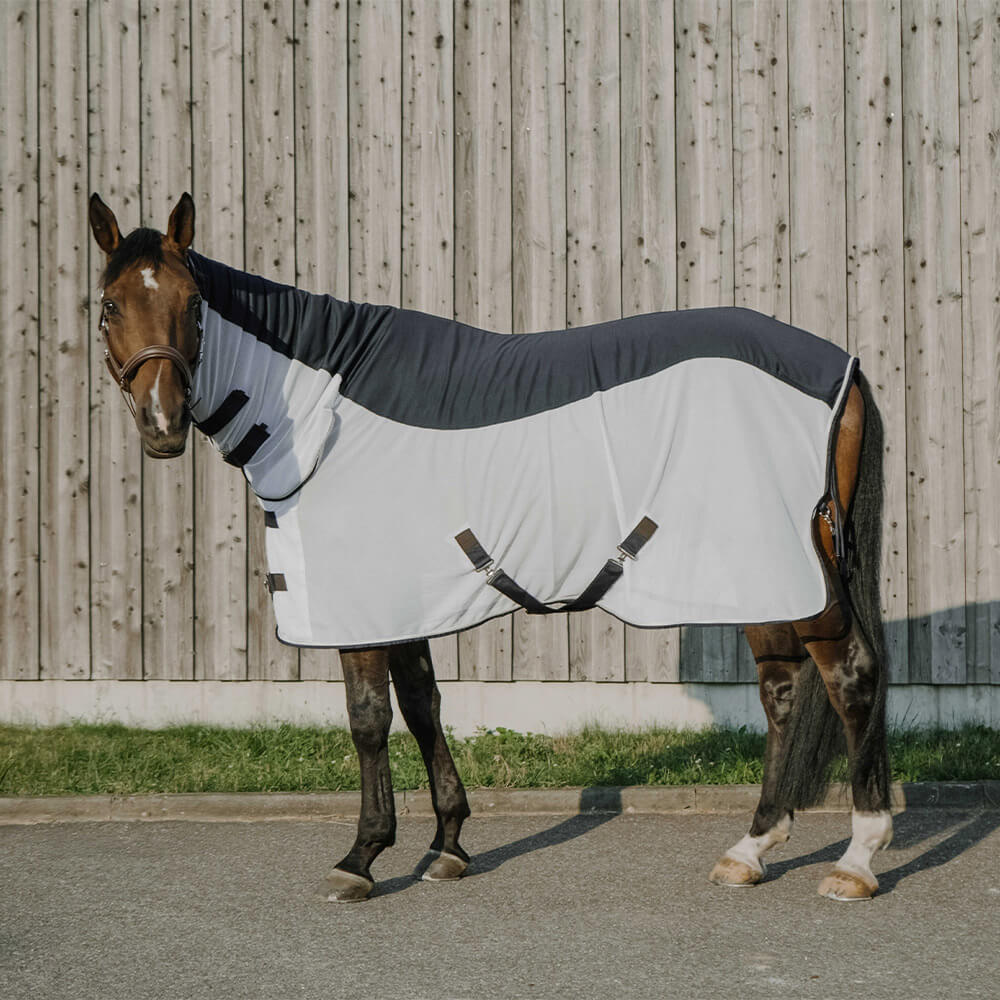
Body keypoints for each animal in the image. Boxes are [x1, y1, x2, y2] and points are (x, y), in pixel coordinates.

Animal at [88, 192, 892, 902]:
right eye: (110, 305)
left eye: (193, 304)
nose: (161, 423)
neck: (324, 411)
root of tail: (845, 371)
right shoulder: (404, 601)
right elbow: (423, 705)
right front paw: (447, 845)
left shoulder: (362, 606)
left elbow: (369, 721)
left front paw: (361, 857)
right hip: (758, 575)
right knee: (783, 689)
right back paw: (751, 849)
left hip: (795, 573)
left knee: (850, 676)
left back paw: (856, 859)